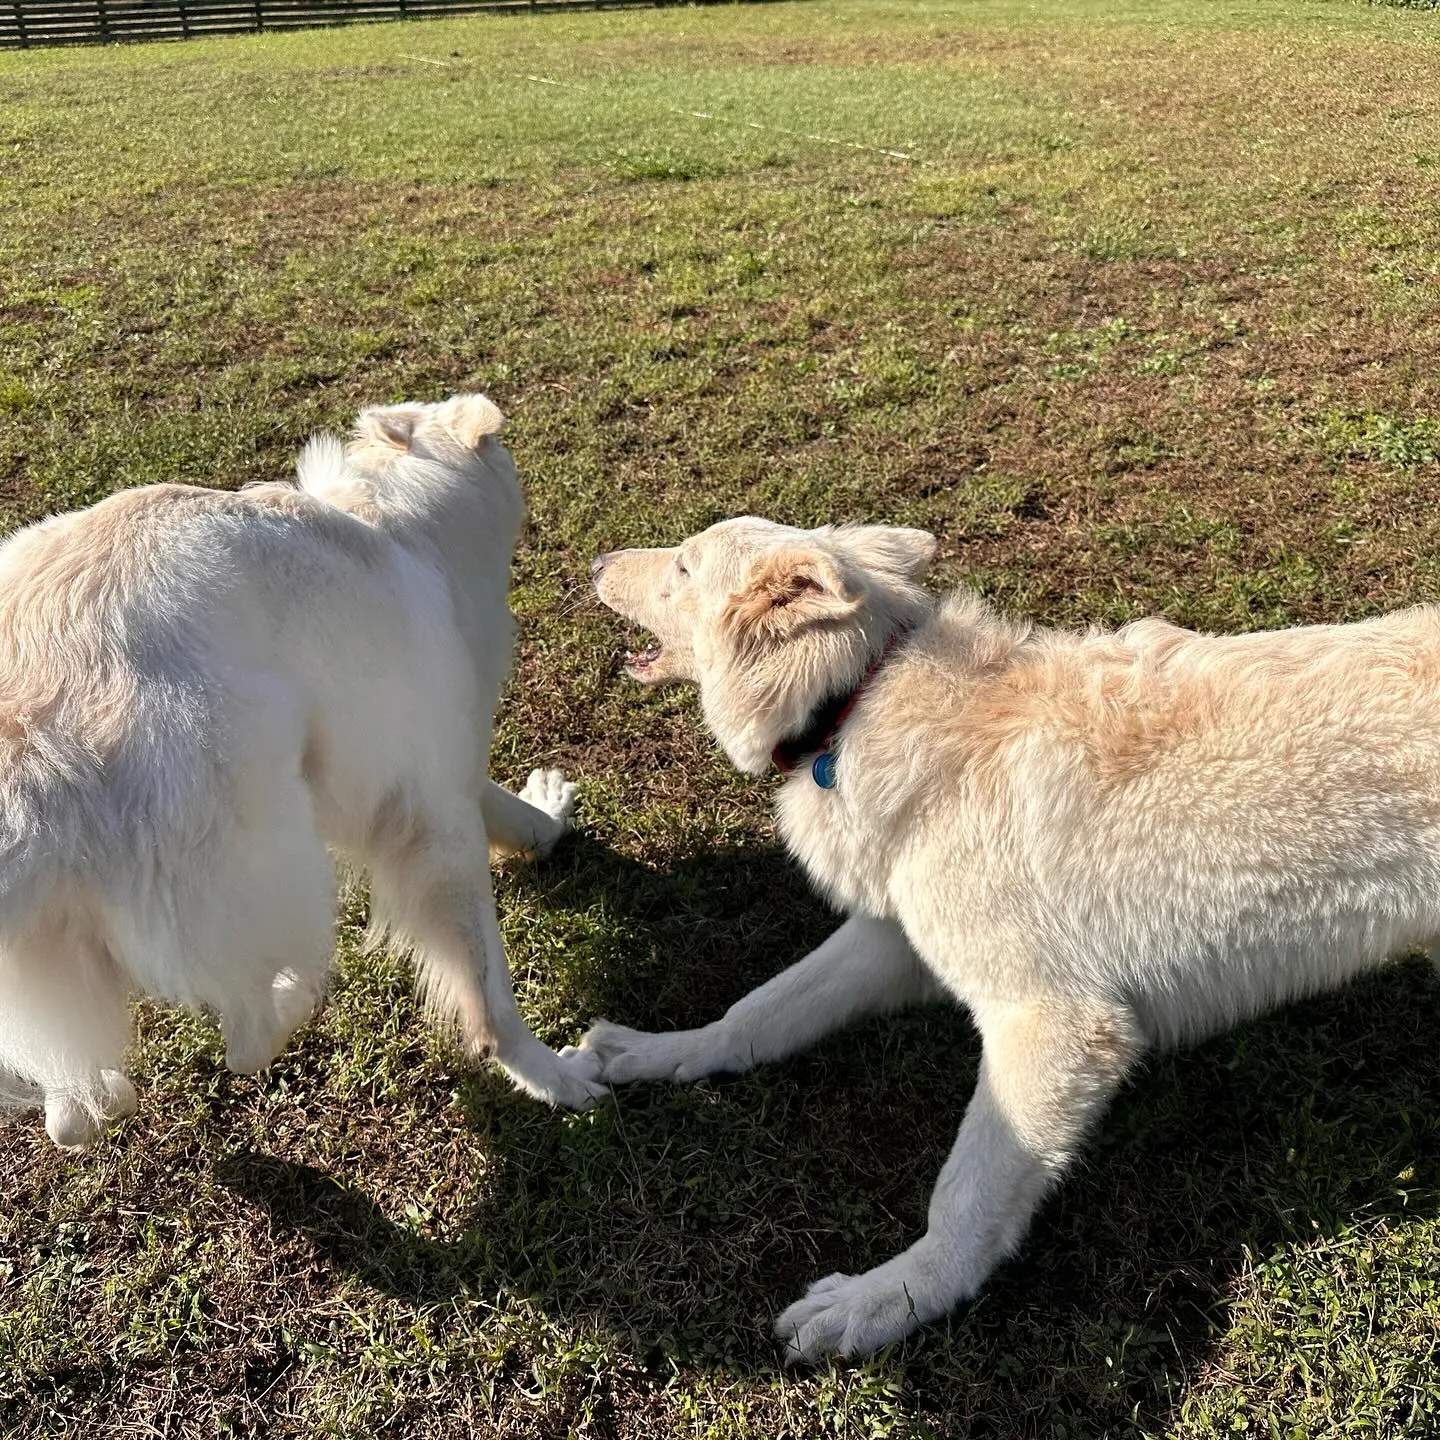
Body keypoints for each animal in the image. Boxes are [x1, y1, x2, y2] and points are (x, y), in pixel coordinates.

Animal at [0, 391, 607, 1146]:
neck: (394, 517)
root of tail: (29, 745)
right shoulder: (434, 812)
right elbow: (488, 989)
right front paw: (547, 1073)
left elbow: (515, 814)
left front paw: (548, 810)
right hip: (272, 843)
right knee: (246, 1036)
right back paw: (299, 995)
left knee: (68, 1108)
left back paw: (103, 1095)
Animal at [573, 515, 1440, 1359]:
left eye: (683, 567)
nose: (596, 560)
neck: (857, 695)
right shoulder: (893, 940)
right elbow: (758, 1013)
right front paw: (662, 1053)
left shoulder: (1054, 1026)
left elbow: (964, 1196)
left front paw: (888, 1302)